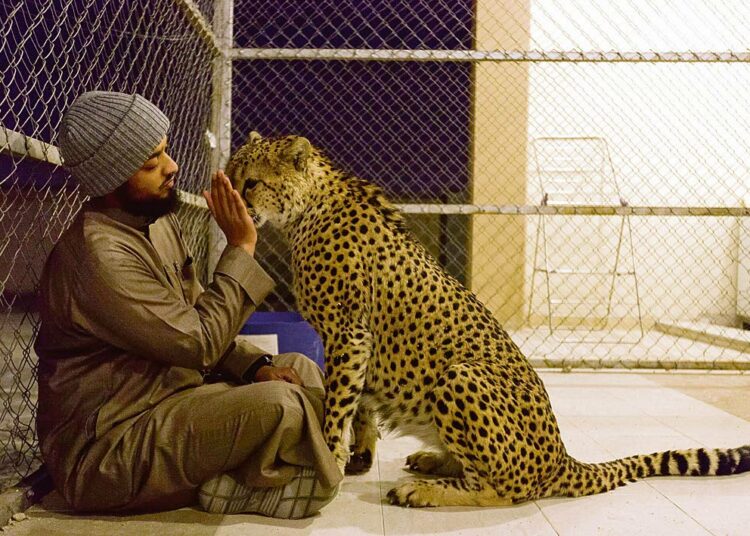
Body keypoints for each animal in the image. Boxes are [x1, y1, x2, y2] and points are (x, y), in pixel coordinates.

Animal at [228, 132, 750, 508]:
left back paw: (425, 490)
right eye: (233, 174)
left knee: (503, 489)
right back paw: (434, 462)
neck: (307, 208)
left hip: (461, 376)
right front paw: (359, 454)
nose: (230, 193)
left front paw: (332, 454)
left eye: (250, 181)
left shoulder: (348, 333)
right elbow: (362, 405)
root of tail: (561, 457)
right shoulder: (355, 341)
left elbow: (340, 403)